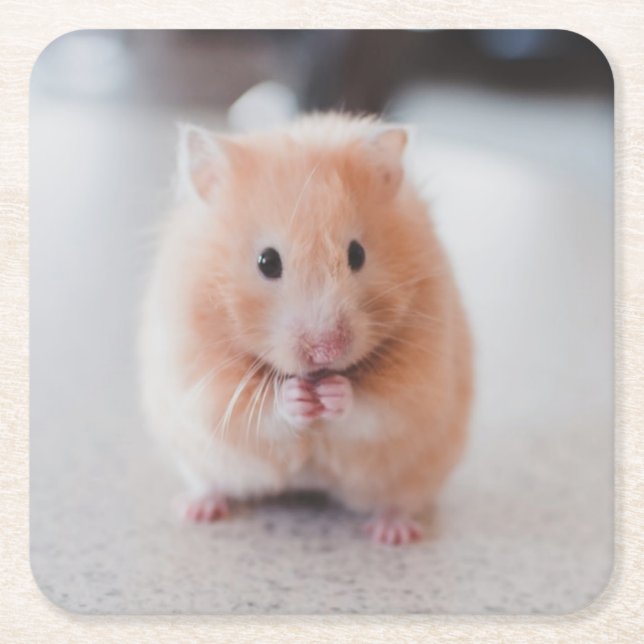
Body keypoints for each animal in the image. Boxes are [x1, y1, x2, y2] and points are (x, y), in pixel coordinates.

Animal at [138, 112, 473, 545]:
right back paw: (197, 509)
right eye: (267, 262)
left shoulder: (419, 382)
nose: (326, 351)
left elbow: (376, 407)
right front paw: (297, 396)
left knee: (398, 500)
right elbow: (257, 410)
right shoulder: (202, 379)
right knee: (211, 483)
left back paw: (393, 533)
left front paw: (333, 393)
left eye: (357, 254)